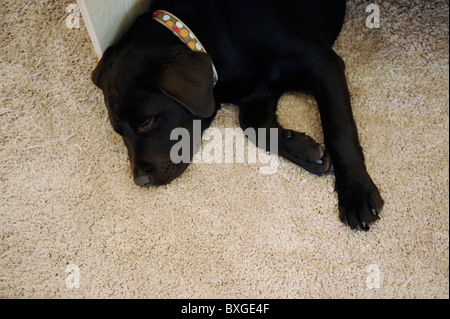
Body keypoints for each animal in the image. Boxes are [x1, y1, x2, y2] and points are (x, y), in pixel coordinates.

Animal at [91, 0, 384, 230]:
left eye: (146, 121)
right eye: (120, 133)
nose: (140, 181)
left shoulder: (322, 64)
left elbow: (339, 130)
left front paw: (355, 192)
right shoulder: (259, 91)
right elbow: (253, 127)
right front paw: (304, 149)